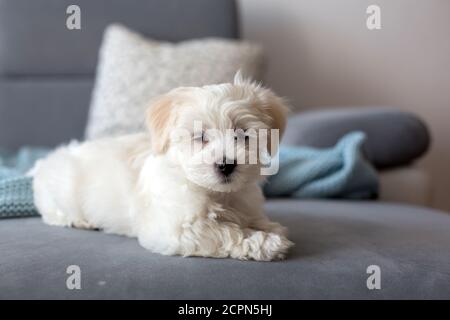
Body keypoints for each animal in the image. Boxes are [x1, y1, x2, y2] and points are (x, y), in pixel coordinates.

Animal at [33, 74, 294, 260]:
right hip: (62, 192)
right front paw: (267, 243)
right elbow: (224, 232)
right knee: (54, 212)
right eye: (200, 136)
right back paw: (81, 221)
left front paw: (269, 228)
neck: (217, 193)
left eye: (243, 134)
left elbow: (251, 219)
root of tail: (46, 162)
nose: (226, 164)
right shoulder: (176, 229)